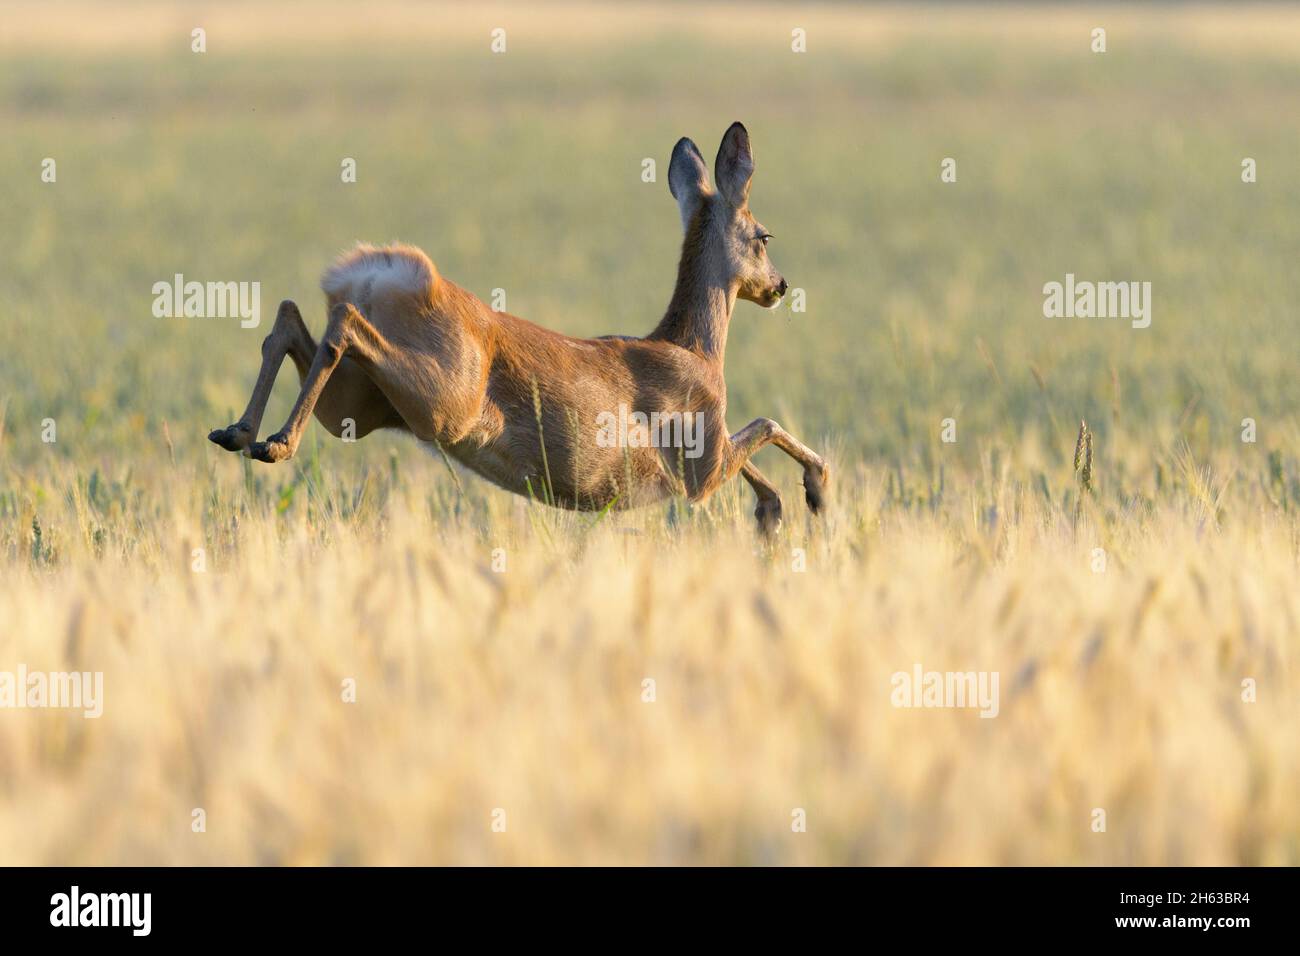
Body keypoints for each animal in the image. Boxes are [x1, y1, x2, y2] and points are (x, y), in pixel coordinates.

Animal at [208, 122, 828, 535]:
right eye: (764, 236)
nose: (779, 286)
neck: (696, 349)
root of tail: (374, 274)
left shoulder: (705, 460)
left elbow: (759, 450)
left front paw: (773, 514)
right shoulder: (699, 461)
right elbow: (766, 424)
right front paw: (815, 492)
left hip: (361, 406)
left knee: (291, 319)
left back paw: (239, 433)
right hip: (443, 397)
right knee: (341, 324)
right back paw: (274, 443)